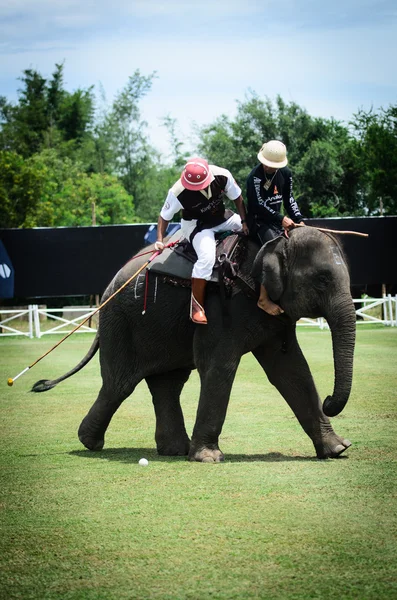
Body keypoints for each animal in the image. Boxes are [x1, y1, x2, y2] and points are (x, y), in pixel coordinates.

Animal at [33, 227, 352, 462]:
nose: (329, 400)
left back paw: (173, 450)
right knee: (119, 386)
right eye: (322, 279)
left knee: (168, 384)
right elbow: (218, 364)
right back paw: (90, 442)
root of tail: (108, 290)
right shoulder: (223, 303)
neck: (272, 240)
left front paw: (338, 449)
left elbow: (291, 369)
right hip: (120, 321)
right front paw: (209, 459)